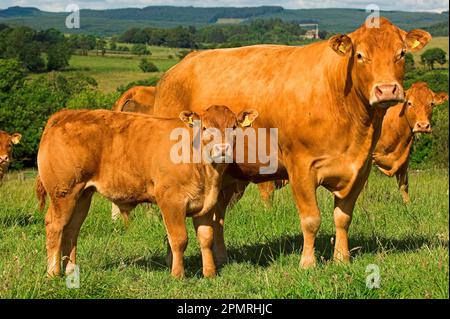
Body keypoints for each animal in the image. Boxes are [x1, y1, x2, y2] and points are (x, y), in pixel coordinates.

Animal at [37, 106, 258, 278]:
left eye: (234, 127)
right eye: (204, 128)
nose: (223, 149)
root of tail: (65, 114)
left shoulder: (205, 204)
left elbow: (206, 238)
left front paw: (210, 273)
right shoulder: (171, 201)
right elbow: (179, 239)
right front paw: (178, 274)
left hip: (82, 195)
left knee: (71, 229)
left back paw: (70, 270)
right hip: (63, 192)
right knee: (55, 226)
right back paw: (53, 272)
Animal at [153, 16, 430, 268]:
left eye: (401, 53)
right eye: (360, 55)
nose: (387, 90)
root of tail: (175, 70)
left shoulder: (360, 169)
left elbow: (343, 217)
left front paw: (342, 259)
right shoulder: (301, 167)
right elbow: (311, 219)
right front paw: (308, 263)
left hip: (226, 176)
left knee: (217, 215)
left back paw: (221, 258)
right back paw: (171, 259)